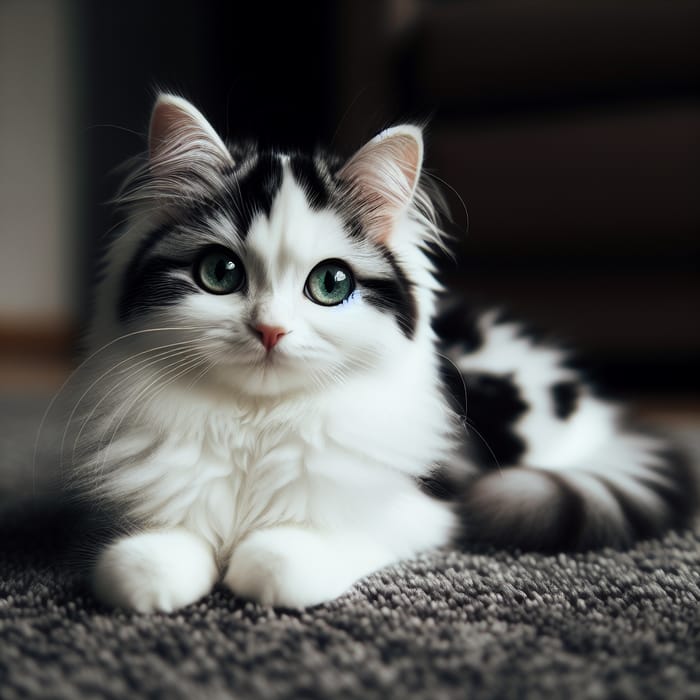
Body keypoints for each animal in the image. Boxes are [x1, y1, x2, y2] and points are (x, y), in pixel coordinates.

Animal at [63, 94, 696, 612]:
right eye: (220, 273)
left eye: (331, 284)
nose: (270, 331)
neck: (259, 424)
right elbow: (141, 562)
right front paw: (157, 582)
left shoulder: (418, 511)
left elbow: (280, 560)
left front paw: (256, 565)